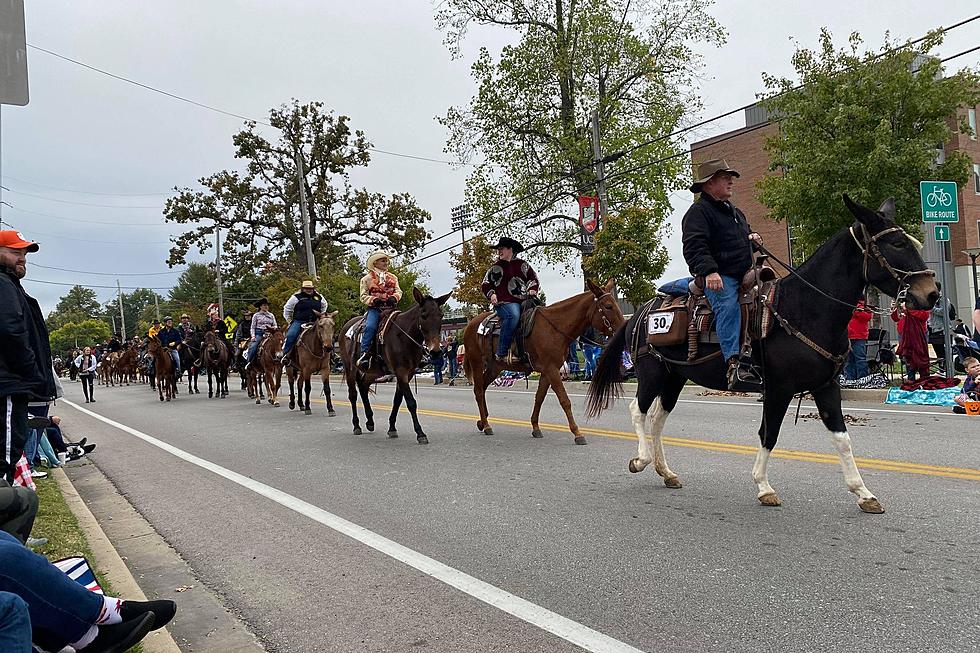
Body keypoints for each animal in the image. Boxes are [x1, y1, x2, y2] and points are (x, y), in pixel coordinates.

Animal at [336, 286, 452, 444]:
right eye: (423, 315)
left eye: (441, 315)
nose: (435, 351)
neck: (404, 337)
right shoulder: (401, 371)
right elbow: (411, 402)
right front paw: (420, 433)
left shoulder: (408, 373)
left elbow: (397, 400)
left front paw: (392, 428)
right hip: (350, 368)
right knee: (353, 395)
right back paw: (356, 425)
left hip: (374, 371)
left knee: (363, 386)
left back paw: (370, 421)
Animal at [464, 278, 624, 446]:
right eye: (608, 306)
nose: (623, 329)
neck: (554, 327)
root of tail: (470, 324)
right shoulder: (552, 370)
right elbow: (564, 400)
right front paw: (577, 433)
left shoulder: (548, 372)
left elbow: (539, 398)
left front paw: (535, 427)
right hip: (476, 361)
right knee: (478, 390)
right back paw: (486, 425)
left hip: (495, 367)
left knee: (483, 387)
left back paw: (482, 422)